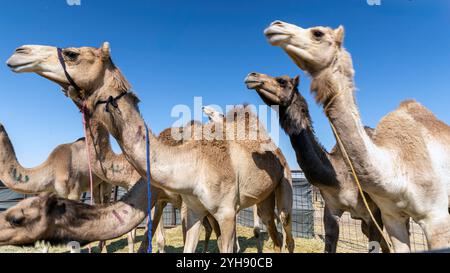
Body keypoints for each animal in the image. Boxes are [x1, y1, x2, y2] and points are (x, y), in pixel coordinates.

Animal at [5, 43, 296, 253]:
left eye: (71, 53)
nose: (18, 52)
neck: (190, 160)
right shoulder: (191, 208)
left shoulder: (223, 211)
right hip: (262, 200)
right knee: (272, 232)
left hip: (284, 187)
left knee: (285, 232)